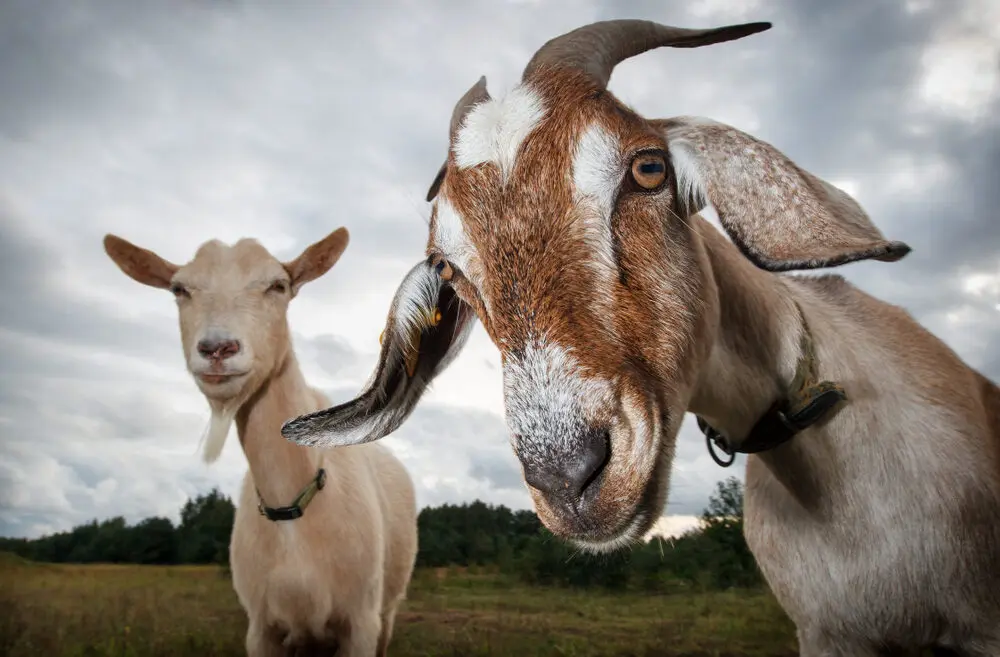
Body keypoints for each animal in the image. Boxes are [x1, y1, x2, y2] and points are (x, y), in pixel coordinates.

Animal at [103, 229, 418, 657]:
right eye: (179, 289)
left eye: (278, 286)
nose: (217, 348)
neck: (292, 505)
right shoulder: (261, 628)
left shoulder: (361, 623)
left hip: (389, 607)